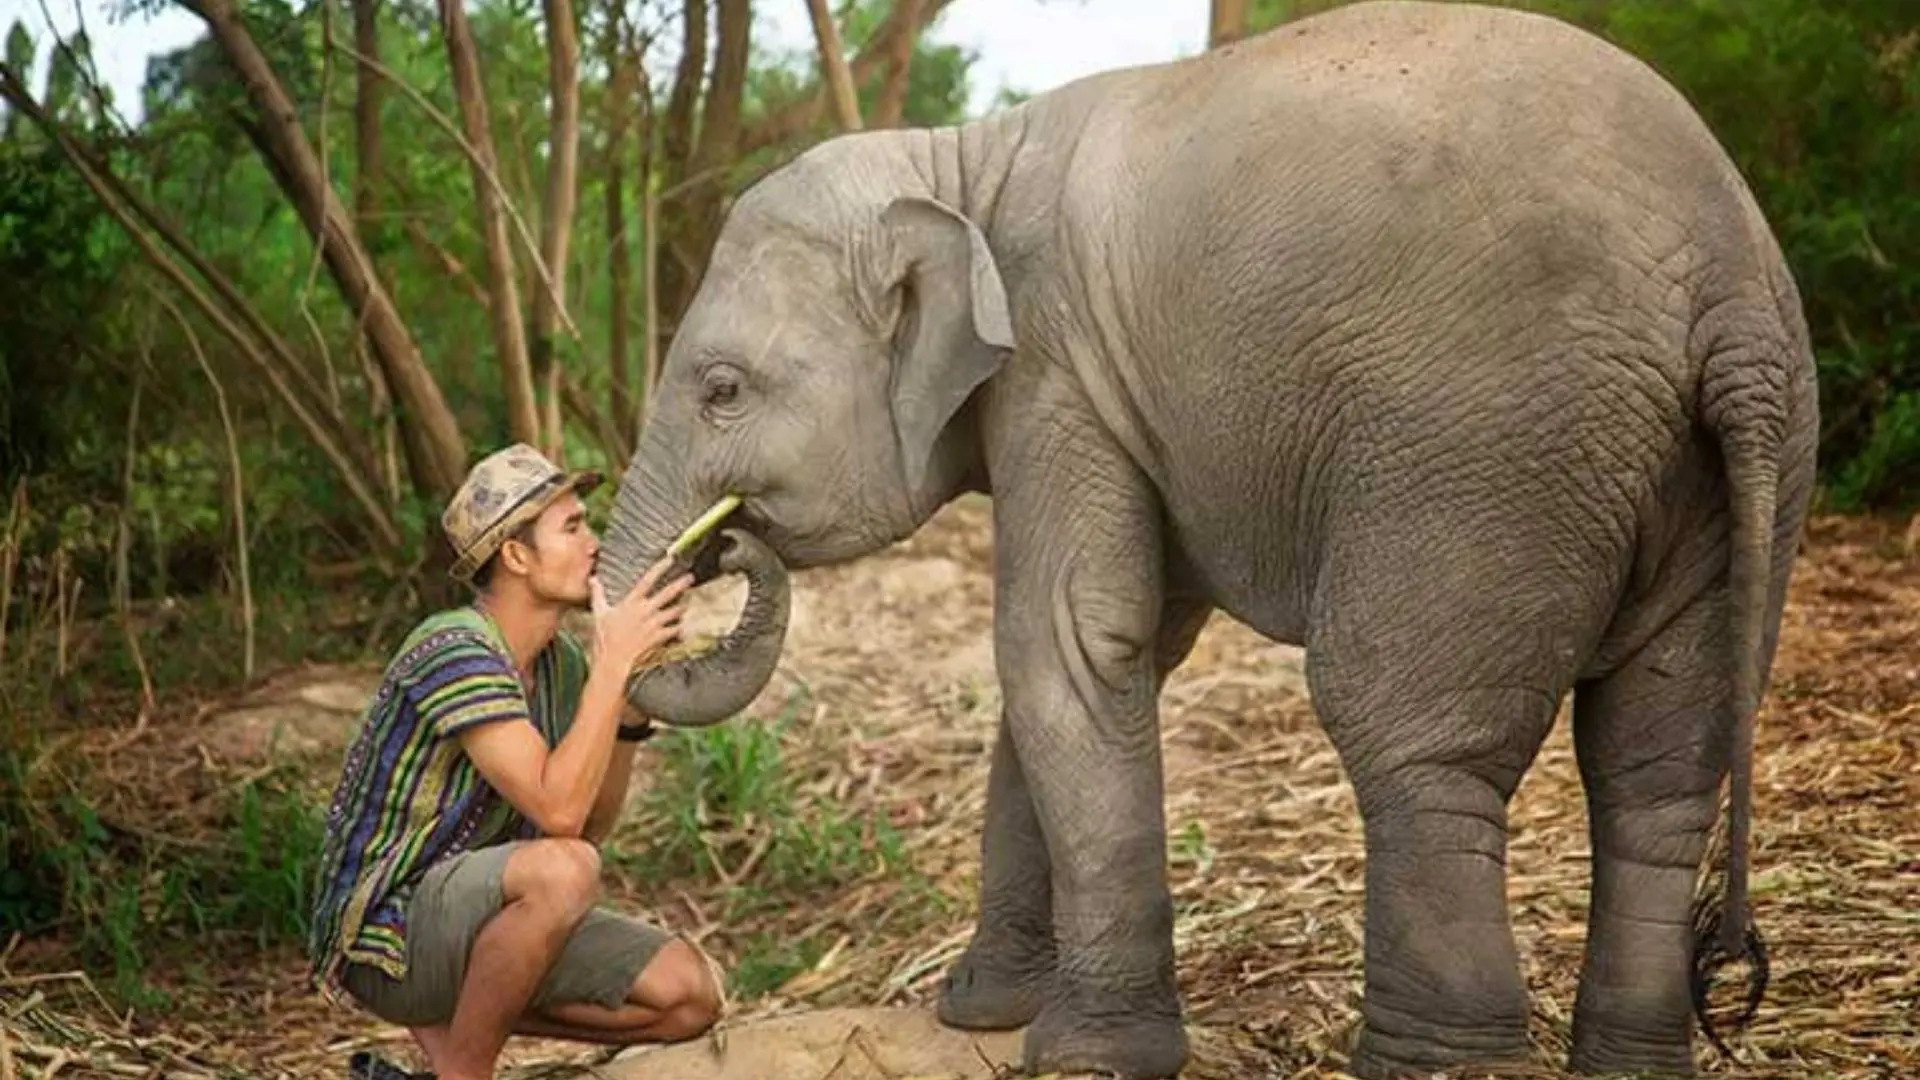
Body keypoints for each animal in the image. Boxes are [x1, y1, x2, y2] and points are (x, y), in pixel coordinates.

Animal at [601, 2, 1819, 1077]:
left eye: (720, 389)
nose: (722, 545)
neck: (964, 164)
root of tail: (1727, 290)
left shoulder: (1059, 375)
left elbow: (1064, 645)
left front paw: (1087, 1055)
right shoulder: (1108, 402)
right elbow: (1094, 662)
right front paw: (984, 1014)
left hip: (1488, 452)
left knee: (1413, 740)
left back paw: (1436, 1063)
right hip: (1730, 472)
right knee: (1658, 768)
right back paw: (1631, 1063)